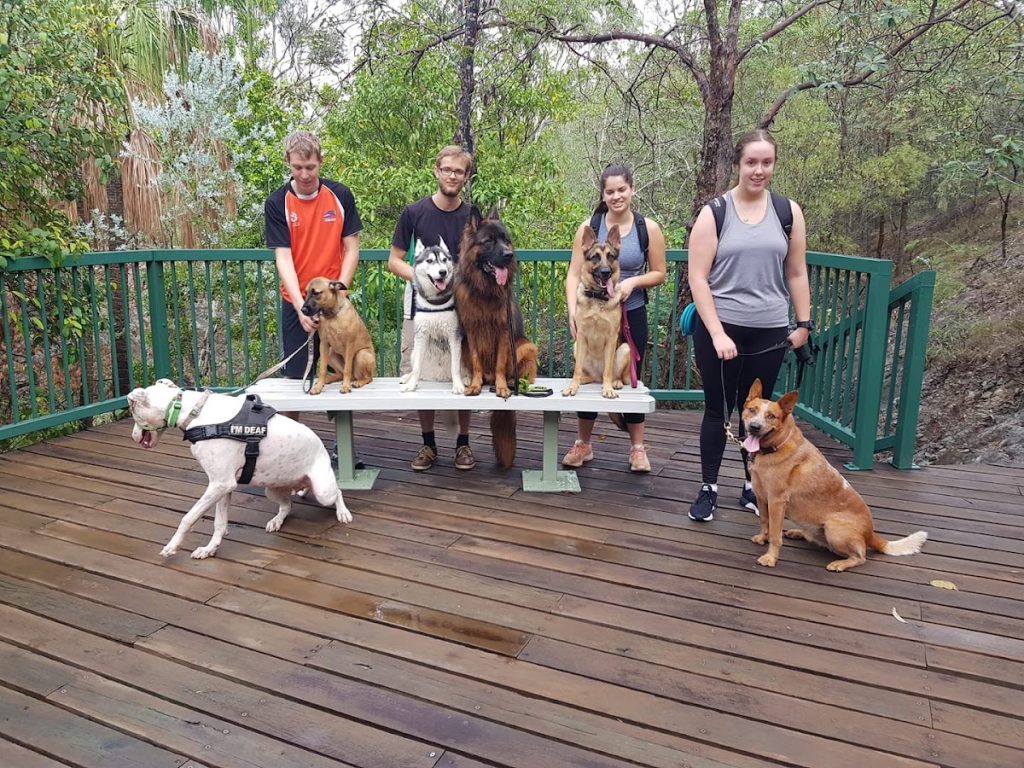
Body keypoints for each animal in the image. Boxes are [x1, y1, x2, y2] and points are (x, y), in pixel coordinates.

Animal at [126, 379, 351, 559]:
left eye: (132, 410)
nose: (133, 437)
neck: (195, 413)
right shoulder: (222, 486)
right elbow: (219, 523)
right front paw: (209, 549)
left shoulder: (220, 484)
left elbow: (188, 518)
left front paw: (172, 546)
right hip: (272, 490)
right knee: (287, 505)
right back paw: (276, 521)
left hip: (324, 491)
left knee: (338, 492)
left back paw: (343, 513)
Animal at [399, 238, 465, 394]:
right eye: (429, 261)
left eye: (444, 260)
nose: (443, 272)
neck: (435, 302)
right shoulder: (421, 335)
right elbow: (417, 367)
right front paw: (411, 385)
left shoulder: (454, 335)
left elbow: (455, 367)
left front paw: (458, 385)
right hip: (414, 351)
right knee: (416, 367)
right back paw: (408, 378)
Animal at [454, 206, 539, 466]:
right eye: (489, 241)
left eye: (505, 239)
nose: (509, 255)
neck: (485, 290)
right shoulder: (471, 332)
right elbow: (477, 362)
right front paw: (475, 385)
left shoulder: (503, 331)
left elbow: (501, 363)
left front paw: (502, 387)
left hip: (526, 346)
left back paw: (510, 383)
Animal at [563, 224, 632, 399]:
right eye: (595, 257)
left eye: (611, 256)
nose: (606, 272)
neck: (598, 298)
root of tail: (597, 376)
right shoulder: (581, 336)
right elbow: (576, 370)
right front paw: (572, 387)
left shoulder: (612, 337)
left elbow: (608, 370)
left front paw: (608, 389)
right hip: (577, 347)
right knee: (587, 374)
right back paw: (583, 380)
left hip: (625, 349)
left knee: (612, 374)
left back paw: (615, 383)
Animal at [742, 379, 927, 571]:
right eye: (752, 410)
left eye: (771, 416)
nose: (754, 427)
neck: (774, 447)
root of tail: (870, 534)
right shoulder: (761, 496)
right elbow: (765, 521)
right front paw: (762, 538)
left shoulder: (776, 501)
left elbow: (775, 534)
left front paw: (771, 558)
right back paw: (798, 532)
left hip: (833, 529)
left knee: (861, 557)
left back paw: (840, 564)